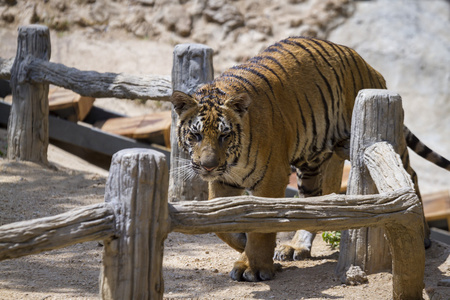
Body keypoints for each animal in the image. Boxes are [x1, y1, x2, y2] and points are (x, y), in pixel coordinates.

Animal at [170, 36, 450, 282]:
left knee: (409, 176)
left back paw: (424, 234)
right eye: (195, 135)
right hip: (313, 161)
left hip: (384, 142)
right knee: (314, 202)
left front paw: (254, 267)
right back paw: (296, 246)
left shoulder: (271, 178)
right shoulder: (224, 180)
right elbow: (221, 227)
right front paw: (243, 243)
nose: (208, 166)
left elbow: (260, 226)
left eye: (224, 135)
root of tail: (372, 69)